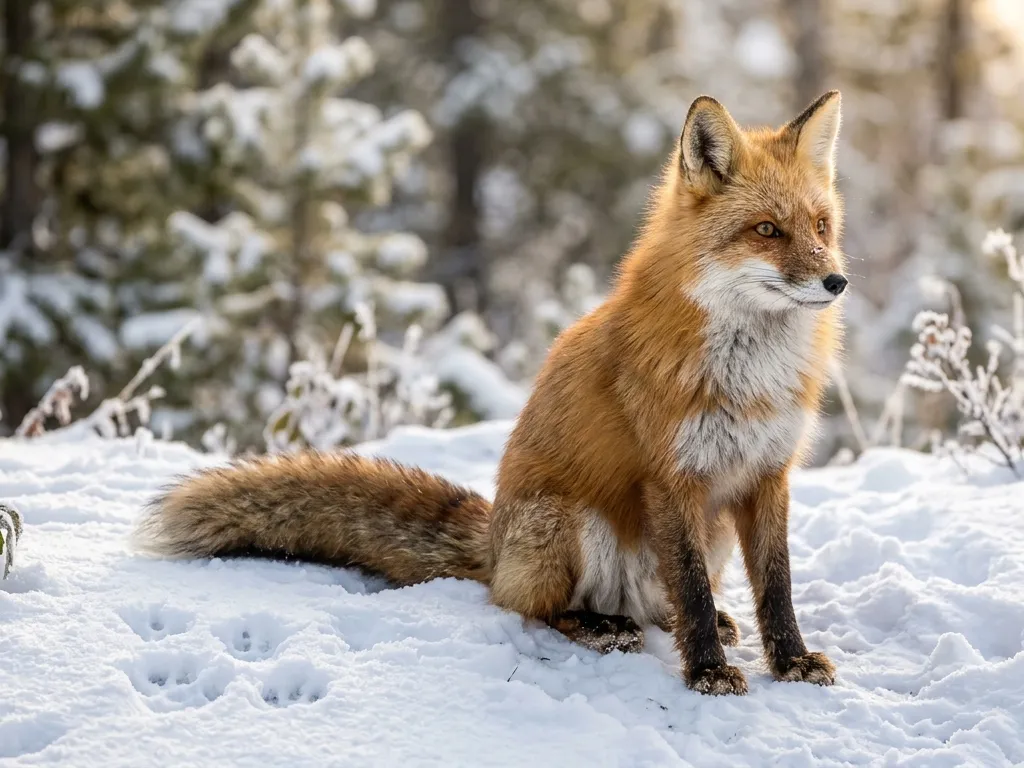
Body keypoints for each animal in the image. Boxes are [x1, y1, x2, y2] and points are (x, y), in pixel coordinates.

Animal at [137, 91, 847, 696]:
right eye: (766, 231)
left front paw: (789, 661)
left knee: (657, 605)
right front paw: (707, 672)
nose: (837, 281)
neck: (750, 378)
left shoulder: (767, 473)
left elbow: (775, 586)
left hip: (708, 529)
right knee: (536, 606)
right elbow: (694, 590)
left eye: (820, 225)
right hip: (568, 521)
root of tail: (495, 544)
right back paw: (601, 626)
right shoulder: (670, 477)